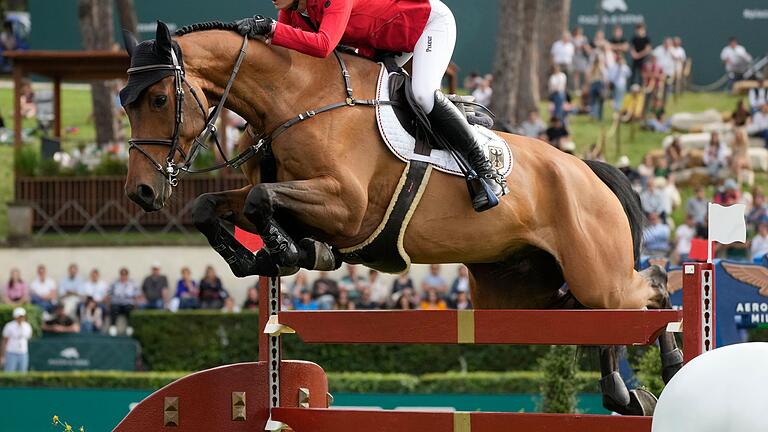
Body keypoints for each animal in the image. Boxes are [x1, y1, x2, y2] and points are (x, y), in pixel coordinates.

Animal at [120, 21, 680, 416]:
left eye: (159, 98)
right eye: (125, 104)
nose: (141, 192)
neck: (296, 99)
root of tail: (586, 169)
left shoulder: (346, 206)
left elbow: (260, 199)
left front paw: (288, 250)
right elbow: (213, 205)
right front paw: (256, 257)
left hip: (596, 273)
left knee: (650, 285)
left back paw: (666, 368)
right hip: (519, 293)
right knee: (596, 316)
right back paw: (628, 394)